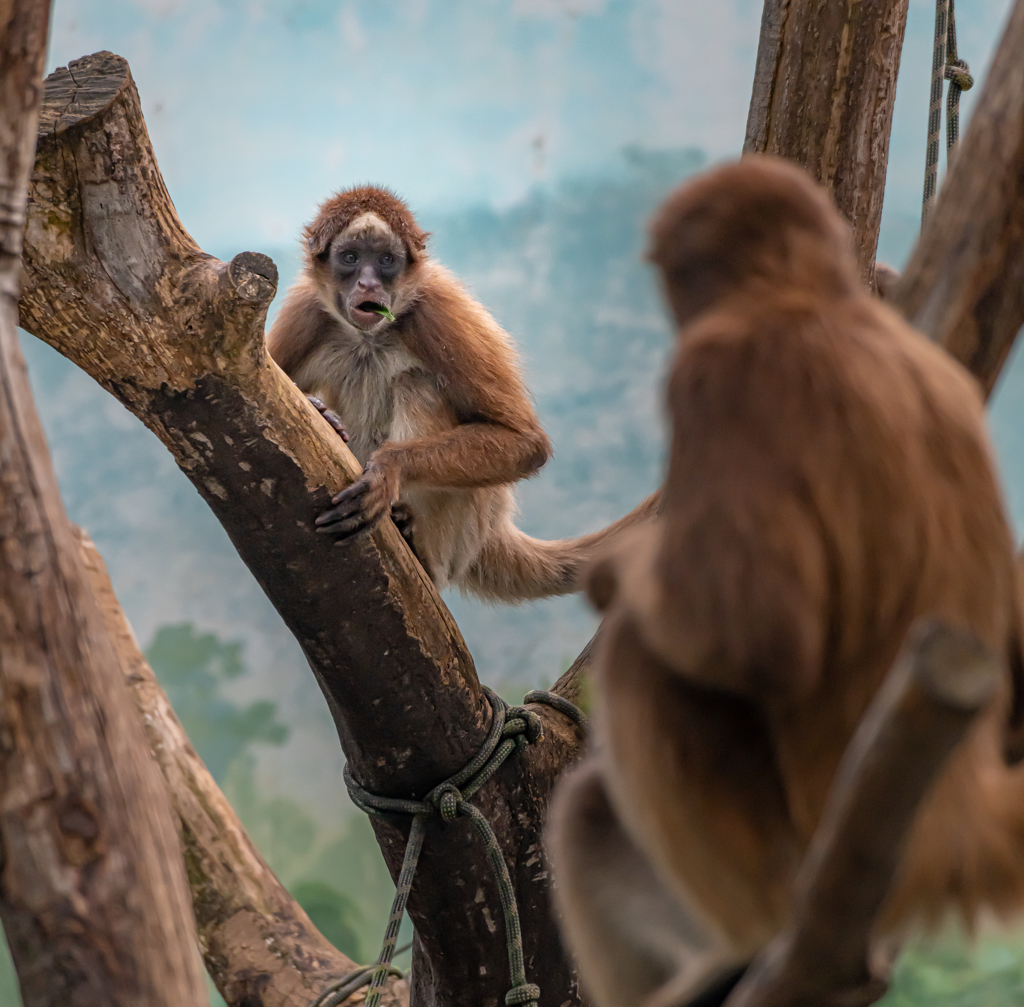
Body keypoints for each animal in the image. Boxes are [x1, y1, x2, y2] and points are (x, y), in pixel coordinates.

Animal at [268, 187, 659, 598]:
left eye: (386, 260)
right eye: (350, 258)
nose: (369, 285)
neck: (367, 338)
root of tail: (494, 525)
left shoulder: (436, 309)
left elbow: (526, 443)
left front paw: (389, 468)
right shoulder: (305, 311)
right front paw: (321, 412)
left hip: (466, 523)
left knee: (415, 383)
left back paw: (417, 545)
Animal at [552, 155, 1024, 1007]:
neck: (817, 304)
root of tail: (956, 821)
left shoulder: (719, 372)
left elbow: (754, 639)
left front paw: (614, 576)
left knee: (641, 665)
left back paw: (745, 945)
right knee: (592, 809)